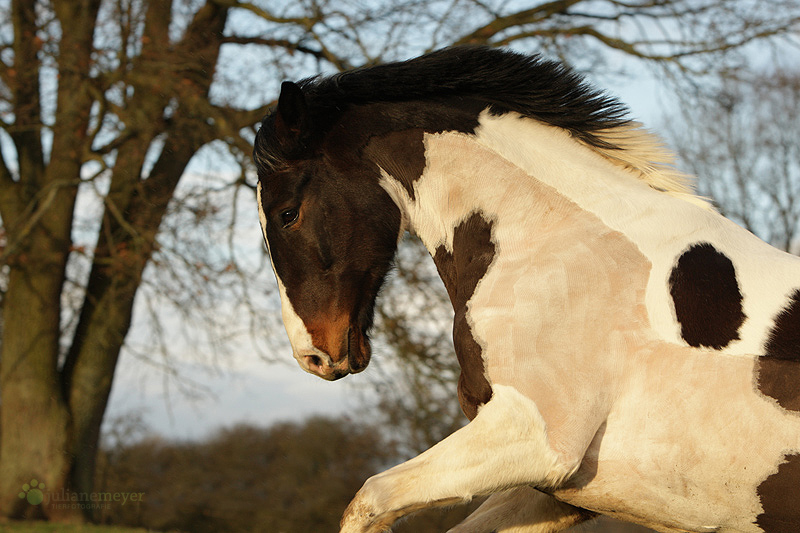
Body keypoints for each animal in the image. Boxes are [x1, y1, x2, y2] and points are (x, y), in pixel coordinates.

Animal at [252, 46, 800, 532]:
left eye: (287, 213)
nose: (312, 356)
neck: (558, 244)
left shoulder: (534, 438)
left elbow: (369, 500)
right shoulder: (564, 492)